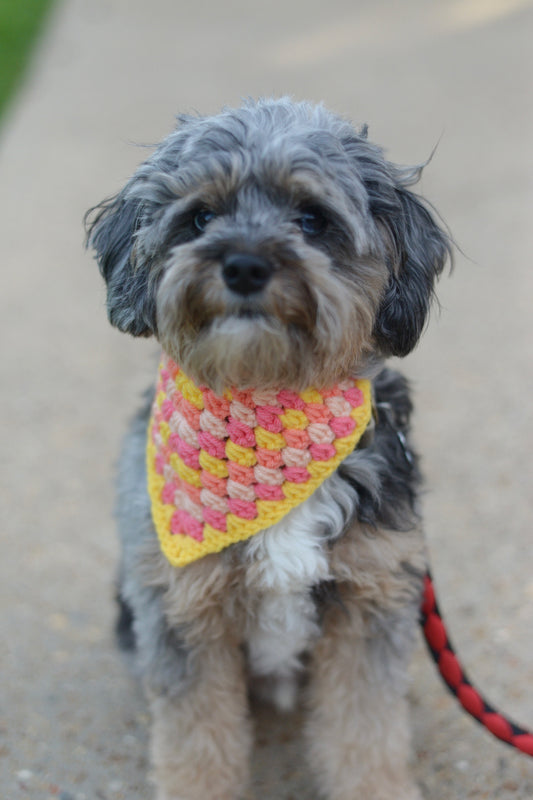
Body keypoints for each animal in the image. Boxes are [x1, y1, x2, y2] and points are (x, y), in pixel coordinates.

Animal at [85, 100, 450, 800]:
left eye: (312, 220)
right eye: (201, 217)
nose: (245, 266)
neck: (267, 392)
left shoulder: (369, 602)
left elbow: (366, 734)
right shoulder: (182, 611)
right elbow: (197, 748)